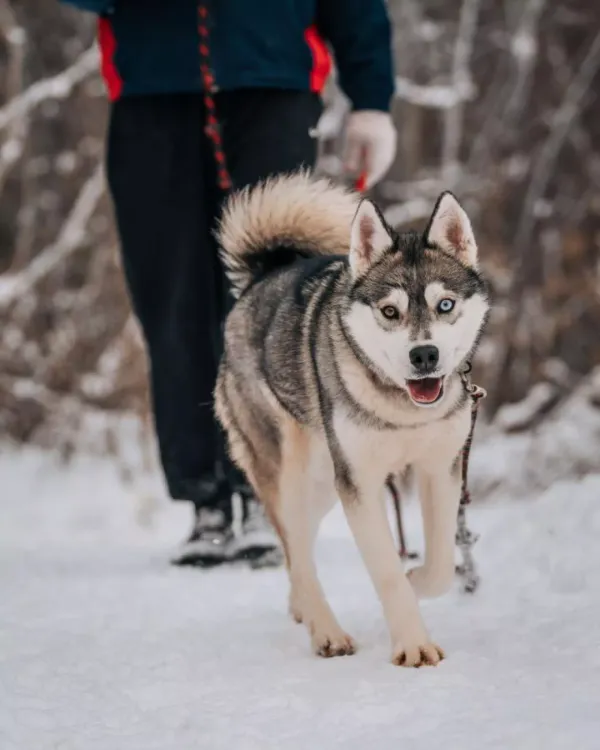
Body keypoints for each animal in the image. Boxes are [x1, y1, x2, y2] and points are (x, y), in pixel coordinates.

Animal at [214, 173, 488, 668]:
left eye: (445, 305)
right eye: (390, 311)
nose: (424, 355)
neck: (402, 409)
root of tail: (262, 277)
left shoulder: (440, 468)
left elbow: (441, 562)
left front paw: (419, 580)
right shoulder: (359, 482)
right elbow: (387, 572)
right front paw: (413, 645)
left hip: (324, 481)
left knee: (297, 548)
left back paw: (303, 608)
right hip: (290, 471)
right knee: (297, 550)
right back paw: (326, 631)